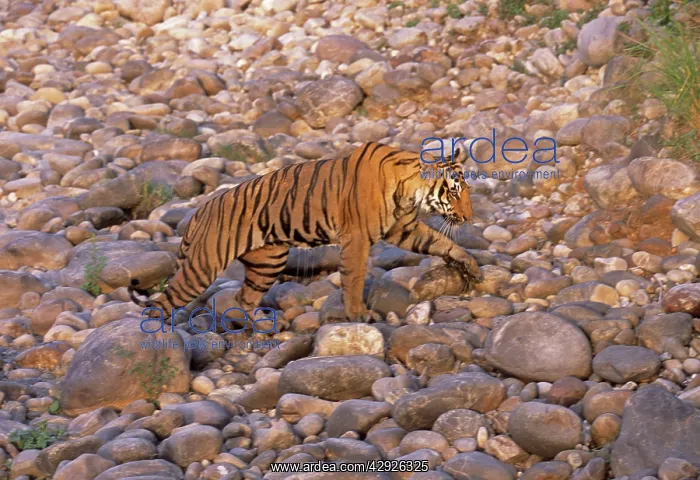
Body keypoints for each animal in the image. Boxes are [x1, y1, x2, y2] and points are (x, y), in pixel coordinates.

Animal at [129, 142, 482, 323]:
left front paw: (472, 268)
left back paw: (265, 328)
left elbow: (442, 242)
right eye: (454, 192)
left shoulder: (403, 229)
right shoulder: (357, 239)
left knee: (244, 298)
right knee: (160, 303)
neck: (409, 189)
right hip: (202, 268)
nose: (469, 216)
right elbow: (353, 279)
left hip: (268, 261)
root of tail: (199, 212)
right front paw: (359, 315)